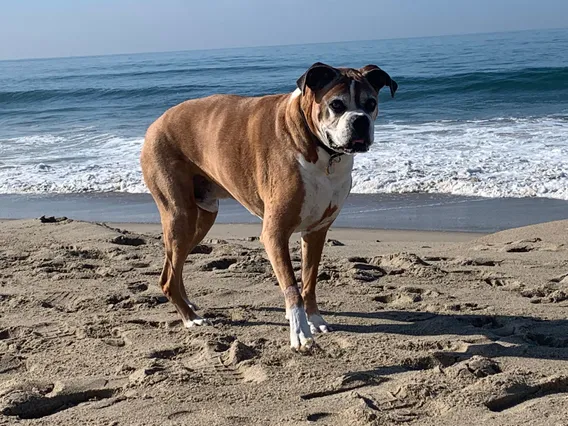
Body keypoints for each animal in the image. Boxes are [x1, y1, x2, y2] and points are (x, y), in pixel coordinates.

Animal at [141, 61, 398, 352]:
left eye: (371, 103)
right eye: (337, 105)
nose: (360, 120)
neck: (319, 149)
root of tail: (156, 122)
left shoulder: (316, 232)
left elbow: (309, 280)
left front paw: (314, 319)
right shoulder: (275, 234)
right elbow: (292, 288)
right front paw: (300, 332)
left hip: (202, 218)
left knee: (175, 266)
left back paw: (188, 304)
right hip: (180, 216)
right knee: (168, 277)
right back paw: (190, 318)